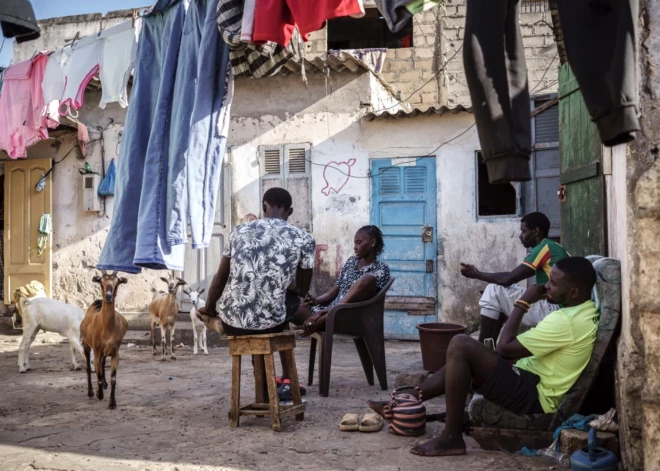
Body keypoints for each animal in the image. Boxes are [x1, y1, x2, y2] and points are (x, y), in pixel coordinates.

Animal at [80, 272, 128, 412]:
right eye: (101, 282)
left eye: (117, 282)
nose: (108, 296)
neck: (107, 329)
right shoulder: (96, 351)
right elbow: (98, 375)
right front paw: (99, 394)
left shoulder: (115, 352)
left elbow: (113, 379)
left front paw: (112, 403)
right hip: (86, 344)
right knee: (89, 368)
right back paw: (91, 392)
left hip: (105, 351)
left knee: (102, 363)